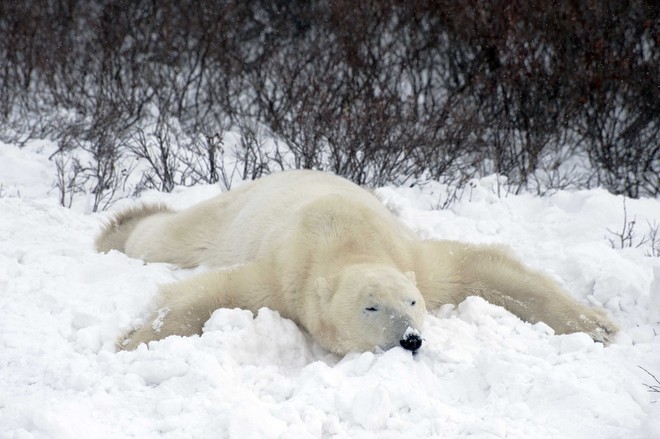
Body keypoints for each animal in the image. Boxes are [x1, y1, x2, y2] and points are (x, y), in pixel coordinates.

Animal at [95, 170, 616, 356]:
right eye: (371, 307)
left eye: (412, 302)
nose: (410, 339)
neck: (346, 238)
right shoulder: (284, 275)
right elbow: (216, 293)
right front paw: (132, 341)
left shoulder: (414, 259)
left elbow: (483, 268)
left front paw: (597, 325)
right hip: (228, 217)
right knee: (170, 238)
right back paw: (120, 226)